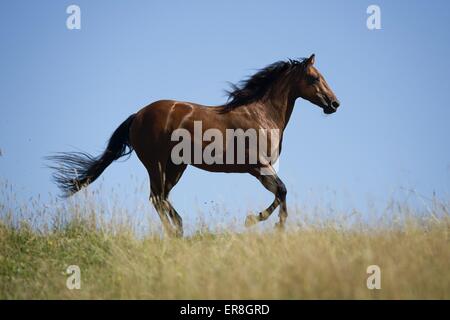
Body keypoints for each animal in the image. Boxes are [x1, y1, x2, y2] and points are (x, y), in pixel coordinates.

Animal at [47, 53, 340, 236]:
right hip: (157, 164)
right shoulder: (258, 166)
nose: (335, 103)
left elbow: (281, 193)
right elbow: (282, 191)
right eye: (314, 78)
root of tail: (137, 115)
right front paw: (262, 223)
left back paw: (178, 228)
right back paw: (175, 231)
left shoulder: (260, 169)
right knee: (157, 197)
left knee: (161, 197)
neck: (260, 113)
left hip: (176, 167)